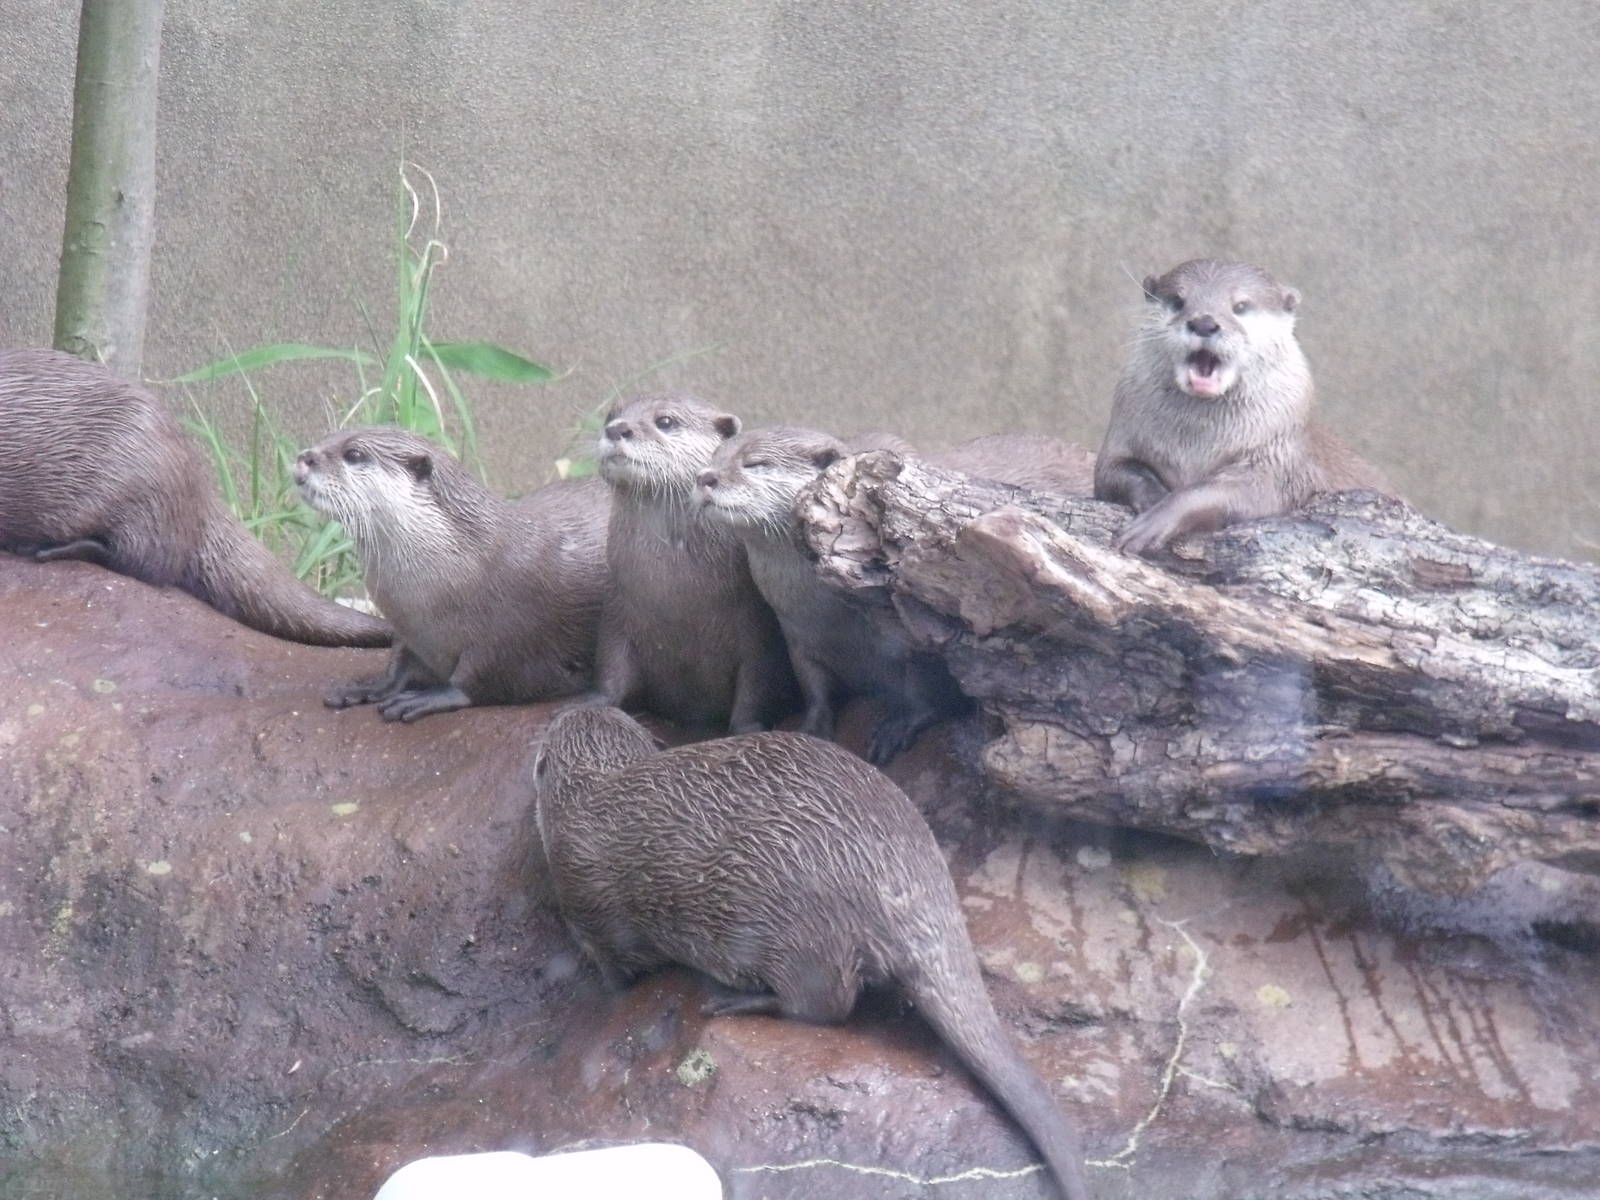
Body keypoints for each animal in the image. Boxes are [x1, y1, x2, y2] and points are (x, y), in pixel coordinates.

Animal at [296, 427, 607, 721]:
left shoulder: (515, 631)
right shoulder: (410, 630)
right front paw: (371, 687)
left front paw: (429, 696)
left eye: (354, 454)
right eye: (326, 437)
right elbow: (399, 663)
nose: (304, 457)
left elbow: (486, 678)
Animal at [530, 705, 1093, 1200]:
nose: (559, 711)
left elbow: (615, 970)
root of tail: (893, 873)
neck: (590, 795)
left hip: (795, 931)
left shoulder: (586, 906)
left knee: (826, 1006)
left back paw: (735, 1002)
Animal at [589, 393, 796, 733]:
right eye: (610, 415)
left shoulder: (758, 627)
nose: (617, 429)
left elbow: (756, 684)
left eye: (665, 421)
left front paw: (745, 729)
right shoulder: (617, 609)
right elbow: (610, 667)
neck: (676, 593)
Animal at [697, 426, 967, 763]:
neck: (832, 614)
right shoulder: (798, 639)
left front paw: (899, 726)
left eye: (755, 463)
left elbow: (926, 686)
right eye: (713, 458)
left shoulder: (917, 636)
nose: (705, 476)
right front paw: (812, 728)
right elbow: (814, 687)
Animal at [1094, 259, 1392, 556]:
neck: (1195, 446)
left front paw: (1157, 520)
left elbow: (1225, 492)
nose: (1204, 323)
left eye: (1240, 306)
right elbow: (1114, 471)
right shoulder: (1123, 435)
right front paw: (1153, 498)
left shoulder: (1279, 459)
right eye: (1178, 301)